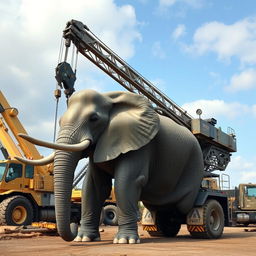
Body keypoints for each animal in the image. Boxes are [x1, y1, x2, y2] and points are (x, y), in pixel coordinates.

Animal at [16, 89, 204, 243]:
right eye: (60, 121)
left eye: (93, 119)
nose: (73, 224)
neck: (110, 98)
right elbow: (93, 187)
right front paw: (84, 239)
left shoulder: (141, 144)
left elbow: (125, 182)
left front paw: (125, 241)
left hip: (194, 163)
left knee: (189, 206)